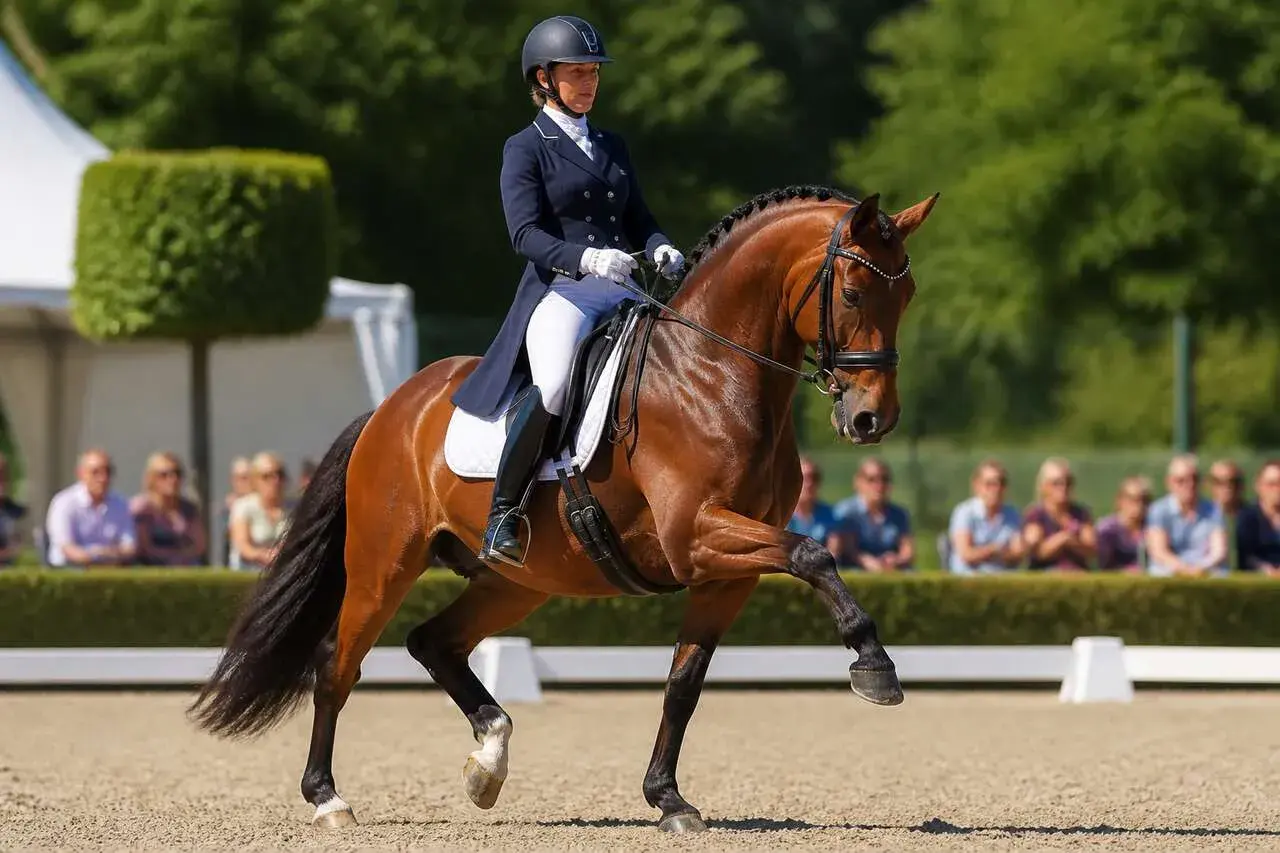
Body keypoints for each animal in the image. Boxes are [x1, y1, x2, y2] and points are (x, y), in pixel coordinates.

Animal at [189, 184, 939, 834]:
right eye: (852, 291)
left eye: (908, 295)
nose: (872, 419)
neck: (713, 374)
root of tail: (391, 407)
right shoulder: (696, 535)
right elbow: (815, 553)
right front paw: (874, 663)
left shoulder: (727, 571)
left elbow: (684, 684)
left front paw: (668, 799)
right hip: (382, 564)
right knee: (336, 663)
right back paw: (328, 798)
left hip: (516, 581)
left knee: (433, 641)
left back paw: (488, 762)